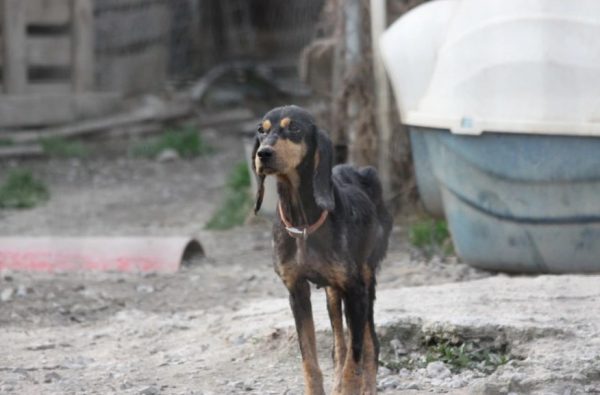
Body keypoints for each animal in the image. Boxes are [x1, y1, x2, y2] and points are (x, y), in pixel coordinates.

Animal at [251, 106, 392, 395]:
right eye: (261, 130)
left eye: (294, 128)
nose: (264, 153)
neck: (302, 221)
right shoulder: (296, 291)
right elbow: (310, 360)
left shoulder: (356, 292)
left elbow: (355, 360)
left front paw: (350, 385)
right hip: (332, 292)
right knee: (339, 343)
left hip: (366, 279)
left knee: (370, 343)